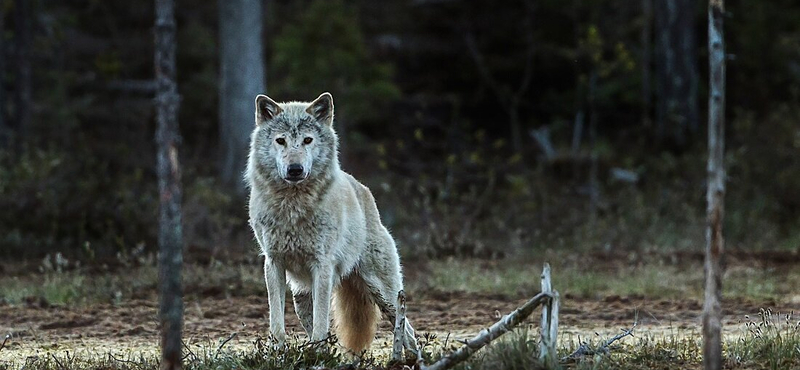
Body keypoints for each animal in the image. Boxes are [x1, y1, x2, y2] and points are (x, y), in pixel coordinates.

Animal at [244, 92, 418, 352]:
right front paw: (279, 353)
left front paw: (318, 354)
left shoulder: (322, 266)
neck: (293, 207)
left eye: (307, 140)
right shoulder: (273, 264)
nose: (295, 169)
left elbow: (321, 323)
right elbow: (277, 323)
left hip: (384, 293)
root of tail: (363, 190)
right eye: (280, 141)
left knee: (408, 331)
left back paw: (411, 358)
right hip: (301, 298)